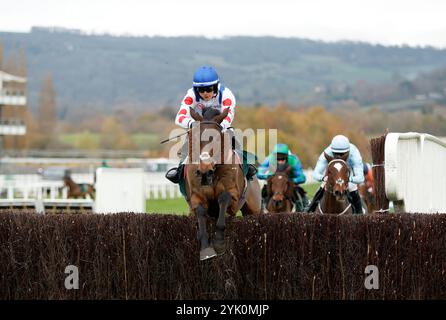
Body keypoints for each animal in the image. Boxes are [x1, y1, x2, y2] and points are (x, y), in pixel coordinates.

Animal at [185, 107, 262, 260]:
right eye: (194, 138)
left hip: (253, 209)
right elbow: (201, 212)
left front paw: (219, 242)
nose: (204, 171)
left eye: (216, 139)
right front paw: (206, 249)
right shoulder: (196, 197)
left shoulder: (234, 197)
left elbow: (224, 198)